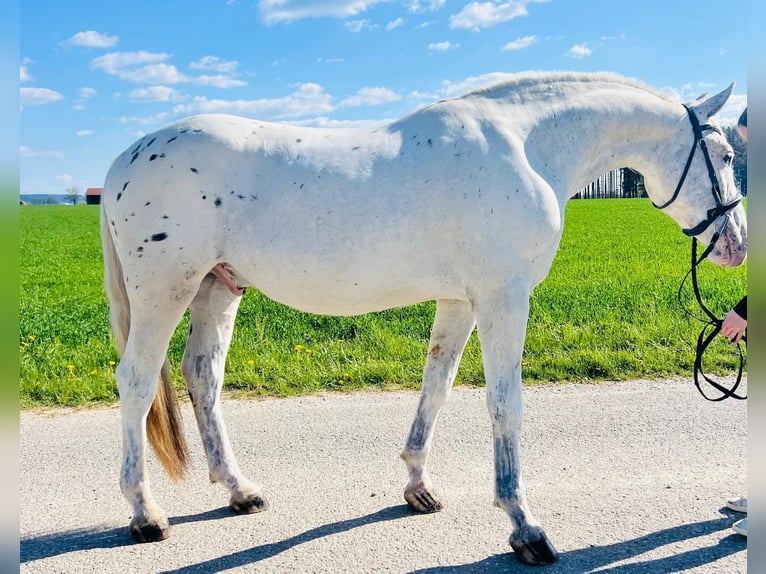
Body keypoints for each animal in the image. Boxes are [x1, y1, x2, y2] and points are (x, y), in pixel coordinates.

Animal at [100, 72, 746, 565]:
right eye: (726, 156)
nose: (737, 245)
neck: (527, 146)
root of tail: (124, 159)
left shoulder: (460, 301)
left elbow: (437, 384)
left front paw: (418, 485)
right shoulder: (503, 296)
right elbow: (505, 405)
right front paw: (524, 525)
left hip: (217, 287)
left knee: (203, 375)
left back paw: (240, 491)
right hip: (166, 291)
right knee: (136, 382)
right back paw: (145, 513)